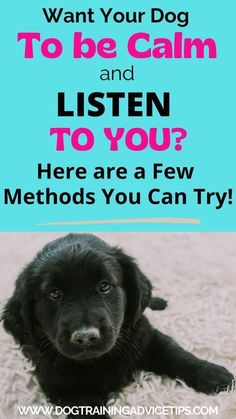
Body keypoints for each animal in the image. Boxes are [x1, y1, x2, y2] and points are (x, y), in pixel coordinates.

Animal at [1, 235, 234, 418]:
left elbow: (175, 353)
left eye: (104, 286)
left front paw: (213, 374)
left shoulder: (144, 336)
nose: (85, 337)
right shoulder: (65, 386)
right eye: (54, 293)